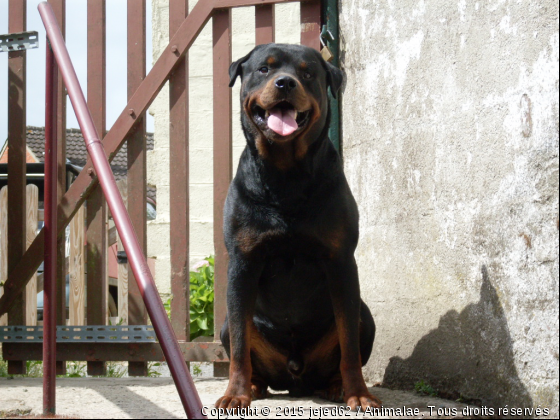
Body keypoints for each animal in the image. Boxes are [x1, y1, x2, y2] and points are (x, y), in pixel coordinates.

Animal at [215, 42, 380, 410]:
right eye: (264, 69)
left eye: (307, 73)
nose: (285, 83)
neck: (285, 174)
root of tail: (295, 378)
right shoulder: (243, 262)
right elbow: (239, 346)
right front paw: (235, 394)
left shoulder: (341, 261)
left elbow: (349, 343)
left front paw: (359, 393)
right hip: (225, 325)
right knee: (240, 338)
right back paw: (255, 386)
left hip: (367, 318)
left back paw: (335, 386)